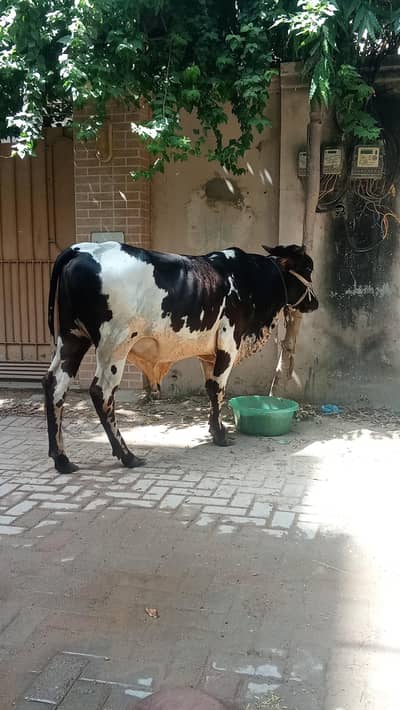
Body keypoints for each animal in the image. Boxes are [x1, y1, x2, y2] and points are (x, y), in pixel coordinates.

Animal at [43, 242, 318, 474]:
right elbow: (218, 389)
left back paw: (62, 459)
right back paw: (128, 456)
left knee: (54, 384)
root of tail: (82, 249)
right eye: (308, 267)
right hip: (115, 344)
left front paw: (214, 429)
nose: (315, 303)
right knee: (101, 392)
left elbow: (211, 389)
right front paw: (220, 436)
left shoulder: (209, 353)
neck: (249, 278)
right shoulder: (229, 342)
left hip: (72, 337)